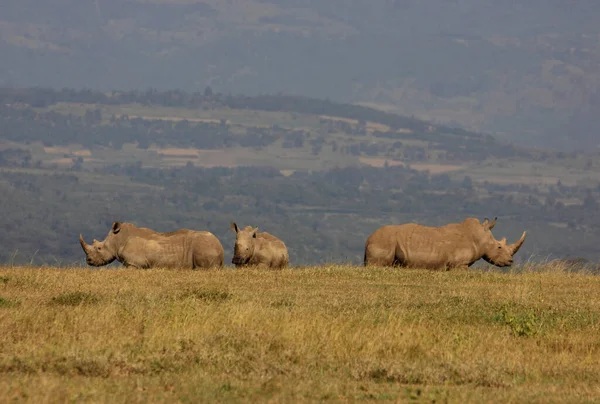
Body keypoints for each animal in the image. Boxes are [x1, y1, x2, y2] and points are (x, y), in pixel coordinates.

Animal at [77, 221, 223, 268]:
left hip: (204, 246)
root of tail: (220, 246)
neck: (118, 240)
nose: (88, 261)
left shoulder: (134, 264)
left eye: (99, 248)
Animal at [360, 216, 524, 270]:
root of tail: (368, 239)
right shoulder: (460, 265)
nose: (510, 261)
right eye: (499, 247)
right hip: (383, 240)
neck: (479, 237)